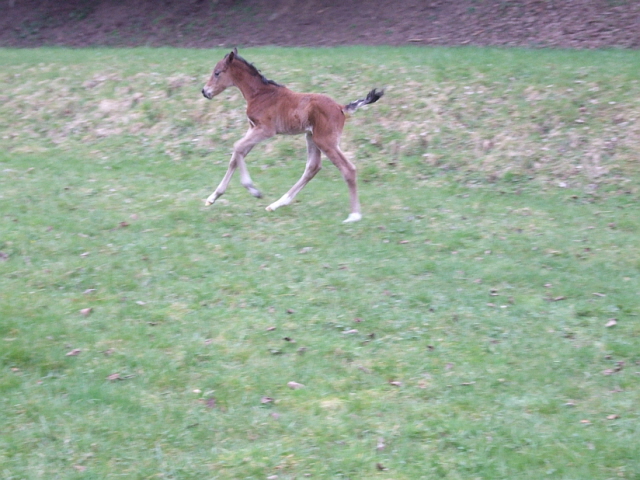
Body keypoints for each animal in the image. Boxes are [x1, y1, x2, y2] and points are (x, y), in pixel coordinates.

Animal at [201, 47, 380, 224]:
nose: (204, 91)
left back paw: (354, 215)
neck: (260, 94)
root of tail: (341, 107)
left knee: (348, 169)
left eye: (217, 73)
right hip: (311, 137)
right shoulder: (252, 128)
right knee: (313, 167)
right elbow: (237, 156)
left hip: (325, 141)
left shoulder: (265, 130)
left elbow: (237, 147)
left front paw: (253, 190)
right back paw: (276, 204)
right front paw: (213, 197)